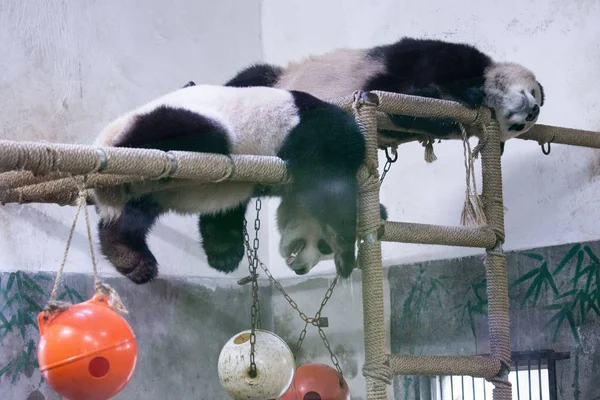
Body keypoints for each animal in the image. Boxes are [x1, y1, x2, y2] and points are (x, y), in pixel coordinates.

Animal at [224, 36, 544, 153]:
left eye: (518, 127)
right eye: (532, 92)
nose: (533, 111)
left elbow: (407, 117)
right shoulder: (445, 55)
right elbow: (425, 67)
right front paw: (466, 91)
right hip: (274, 77)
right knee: (248, 78)